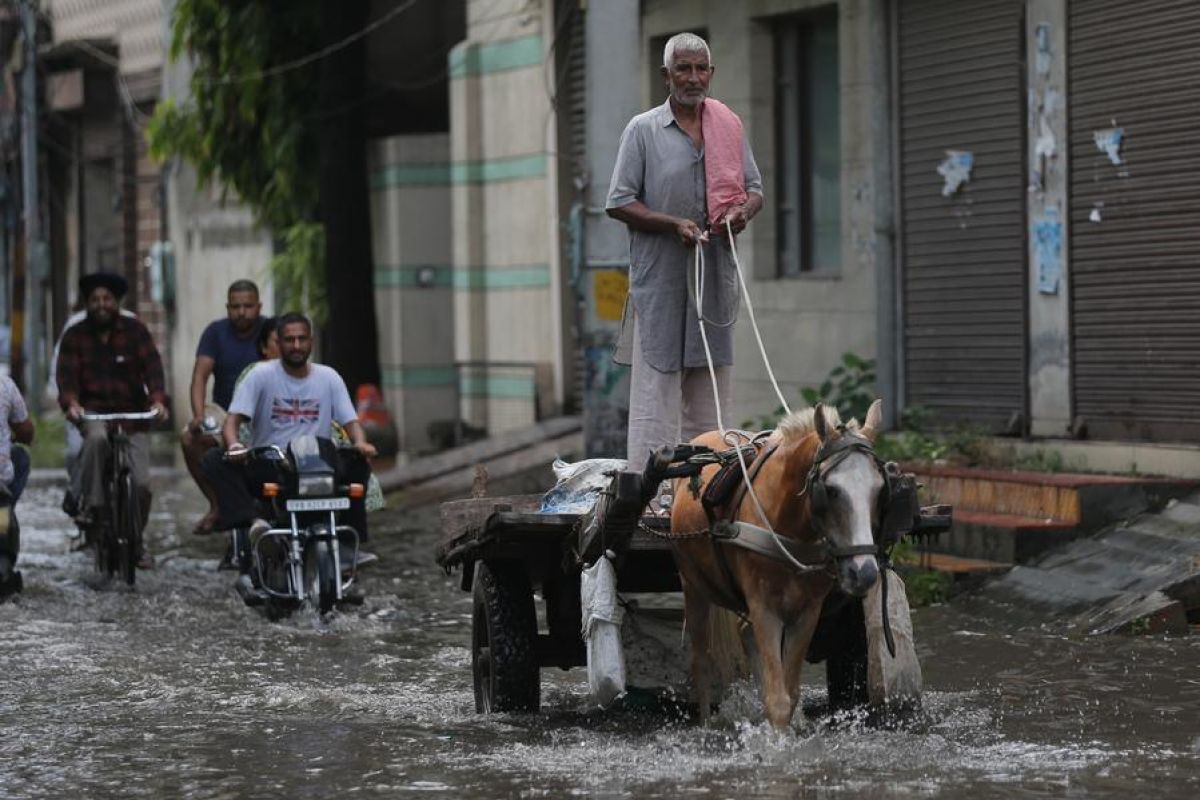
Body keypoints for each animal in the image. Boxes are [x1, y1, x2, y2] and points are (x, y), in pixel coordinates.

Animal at [672, 400, 888, 734]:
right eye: (831, 489)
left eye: (879, 490)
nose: (863, 572)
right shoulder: (765, 609)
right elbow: (777, 699)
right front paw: (777, 740)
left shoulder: (808, 613)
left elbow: (790, 690)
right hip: (692, 584)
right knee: (701, 661)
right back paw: (706, 723)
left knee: (743, 634)